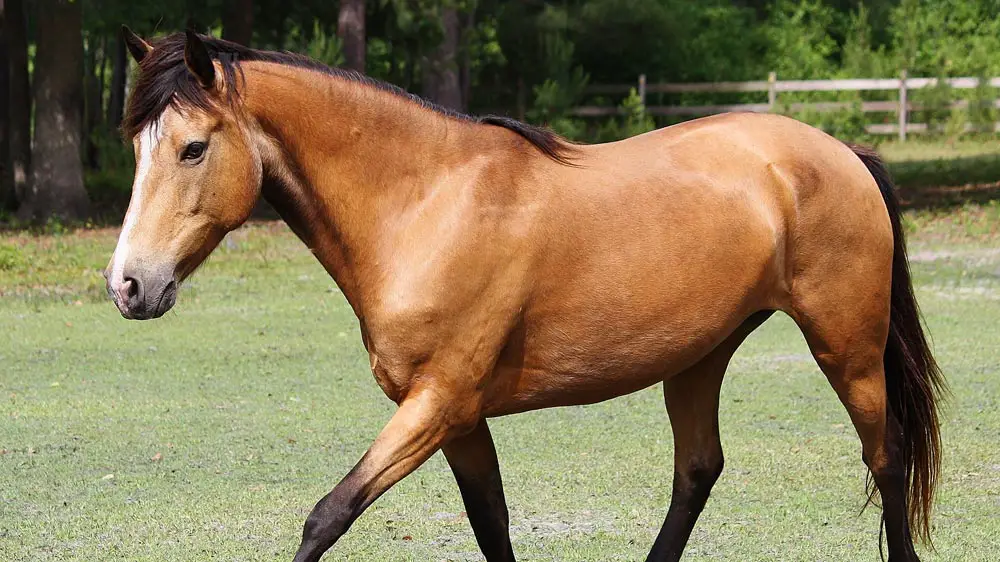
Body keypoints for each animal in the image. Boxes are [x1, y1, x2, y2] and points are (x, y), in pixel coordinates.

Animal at [109, 29, 944, 560]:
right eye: (137, 148)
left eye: (193, 148)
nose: (128, 285)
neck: (425, 204)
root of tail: (843, 152)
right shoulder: (456, 418)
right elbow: (491, 524)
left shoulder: (438, 403)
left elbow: (328, 516)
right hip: (700, 356)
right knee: (698, 471)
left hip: (846, 347)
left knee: (886, 457)